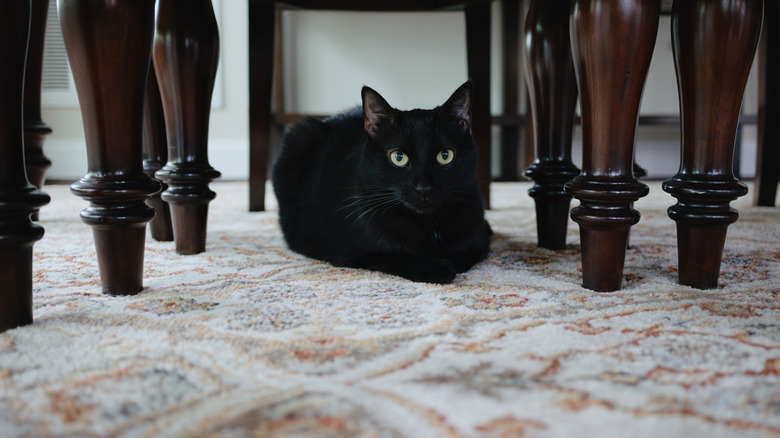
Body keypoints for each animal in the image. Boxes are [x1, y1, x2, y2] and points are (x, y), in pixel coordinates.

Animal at [274, 81, 490, 284]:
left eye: (445, 155)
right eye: (398, 157)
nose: (424, 188)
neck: (428, 225)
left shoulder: (478, 238)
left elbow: (463, 253)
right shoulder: (351, 253)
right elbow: (393, 257)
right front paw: (435, 268)